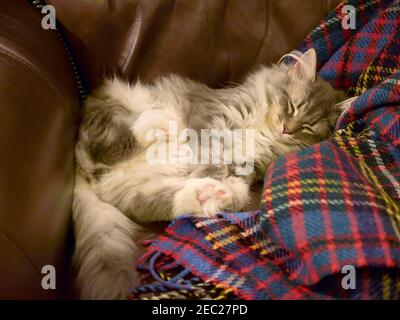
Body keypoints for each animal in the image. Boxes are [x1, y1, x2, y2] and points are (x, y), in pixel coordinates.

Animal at [72, 48, 354, 298]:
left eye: (307, 127)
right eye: (293, 106)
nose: (287, 128)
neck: (264, 131)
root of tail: (87, 178)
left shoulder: (248, 163)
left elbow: (231, 174)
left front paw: (231, 189)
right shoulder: (215, 125)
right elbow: (209, 161)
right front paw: (207, 174)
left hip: (137, 189)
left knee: (152, 201)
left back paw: (211, 194)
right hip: (118, 108)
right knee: (108, 145)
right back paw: (158, 125)